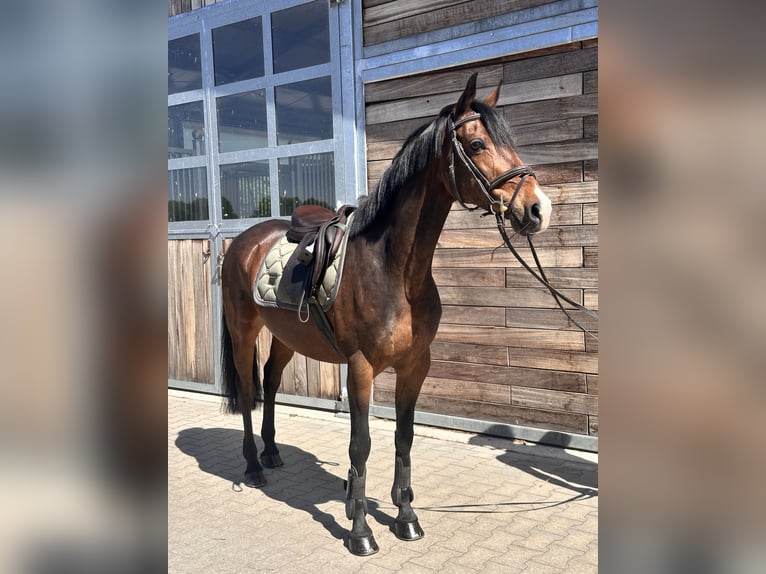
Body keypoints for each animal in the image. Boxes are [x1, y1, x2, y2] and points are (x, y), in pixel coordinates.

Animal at [220, 73, 552, 556]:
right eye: (476, 145)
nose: (538, 208)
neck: (395, 270)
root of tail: (244, 242)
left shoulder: (415, 365)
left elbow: (404, 437)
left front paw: (406, 517)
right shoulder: (360, 369)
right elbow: (361, 445)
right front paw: (360, 530)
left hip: (285, 337)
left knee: (271, 380)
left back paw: (272, 453)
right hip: (243, 329)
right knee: (248, 391)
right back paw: (252, 467)